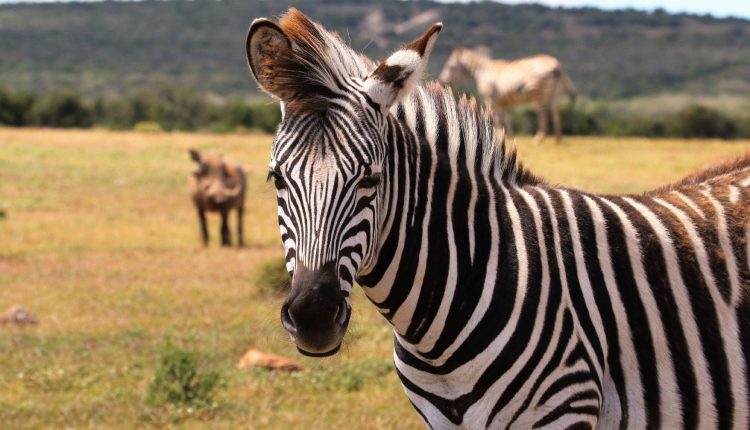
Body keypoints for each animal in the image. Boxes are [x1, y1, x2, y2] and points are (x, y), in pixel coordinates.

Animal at [438, 47, 580, 144]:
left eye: (450, 66)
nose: (441, 81)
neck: (481, 72)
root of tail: (556, 65)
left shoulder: (490, 99)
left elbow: (496, 118)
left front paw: (496, 137)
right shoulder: (504, 102)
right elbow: (506, 119)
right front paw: (508, 136)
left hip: (538, 93)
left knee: (542, 113)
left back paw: (539, 138)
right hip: (555, 92)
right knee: (556, 111)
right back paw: (558, 138)